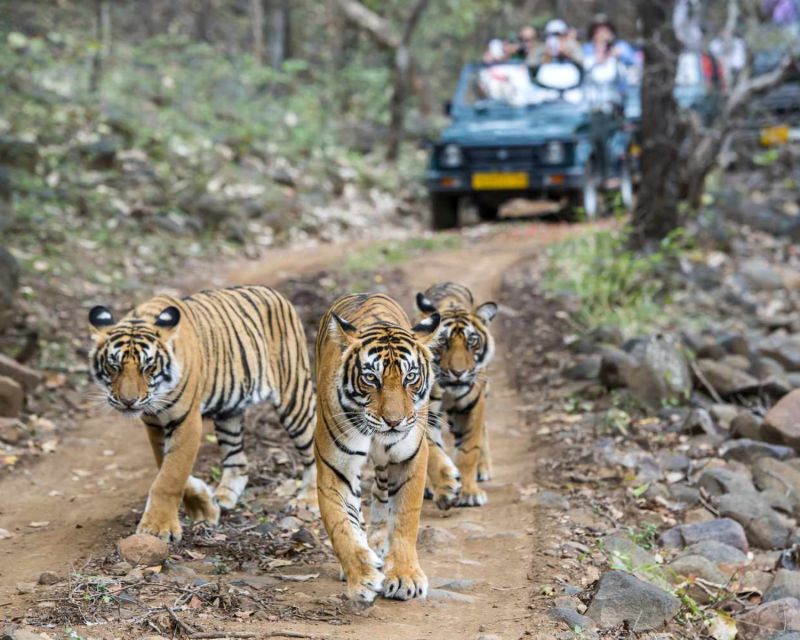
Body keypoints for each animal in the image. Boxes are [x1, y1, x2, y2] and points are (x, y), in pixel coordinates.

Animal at [88, 285, 316, 543]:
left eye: (148, 367)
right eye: (113, 366)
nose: (128, 401)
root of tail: (273, 292)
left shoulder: (186, 421)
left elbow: (171, 476)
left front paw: (158, 528)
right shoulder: (154, 424)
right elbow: (165, 466)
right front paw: (204, 506)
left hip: (294, 396)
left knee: (313, 450)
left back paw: (308, 500)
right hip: (229, 412)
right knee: (238, 461)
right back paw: (224, 497)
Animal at [314, 293, 440, 604]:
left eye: (410, 377)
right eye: (371, 378)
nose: (393, 421)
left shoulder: (410, 458)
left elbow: (405, 519)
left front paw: (405, 577)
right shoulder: (335, 467)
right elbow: (342, 526)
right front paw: (362, 577)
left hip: (387, 462)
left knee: (382, 494)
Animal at [416, 282, 497, 507]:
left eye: (472, 342)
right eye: (443, 343)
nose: (459, 373)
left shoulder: (472, 406)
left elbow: (468, 450)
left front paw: (470, 492)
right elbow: (433, 451)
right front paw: (446, 488)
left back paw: (484, 468)